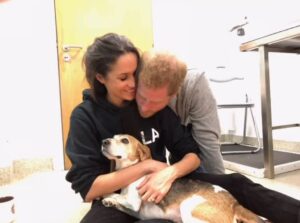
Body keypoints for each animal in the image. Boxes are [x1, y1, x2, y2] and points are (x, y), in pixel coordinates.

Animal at [101, 134, 262, 223]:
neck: (131, 170)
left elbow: (113, 194)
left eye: (125, 141)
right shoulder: (137, 212)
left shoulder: (133, 202)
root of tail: (234, 204)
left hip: (188, 208)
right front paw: (110, 202)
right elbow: (118, 198)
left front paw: (104, 196)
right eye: (113, 137)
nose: (104, 141)